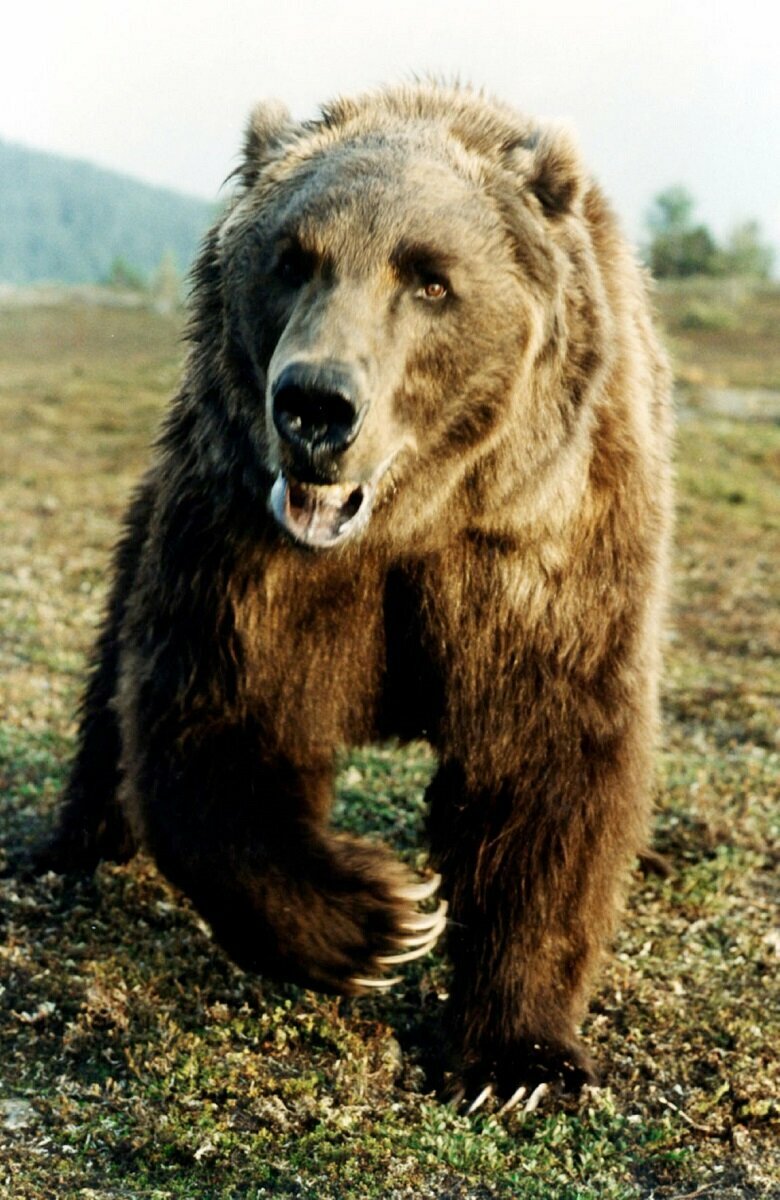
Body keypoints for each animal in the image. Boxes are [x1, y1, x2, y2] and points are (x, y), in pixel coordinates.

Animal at [39, 82, 672, 1111]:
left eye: (431, 279)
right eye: (292, 259)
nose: (315, 404)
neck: (405, 525)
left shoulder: (536, 551)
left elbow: (547, 762)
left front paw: (520, 1061)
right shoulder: (253, 550)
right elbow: (213, 723)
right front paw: (384, 917)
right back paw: (77, 847)